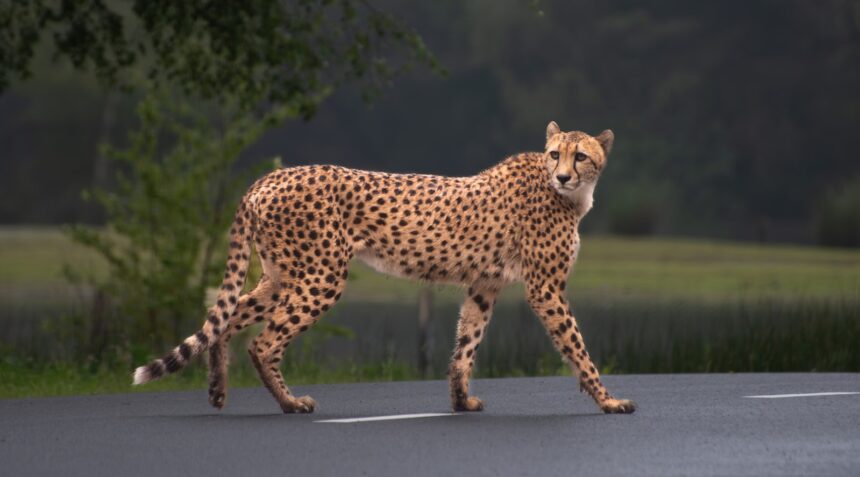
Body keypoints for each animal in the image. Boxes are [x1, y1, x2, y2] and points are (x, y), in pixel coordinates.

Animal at [131, 122, 636, 412]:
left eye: (581, 155)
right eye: (555, 154)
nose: (563, 175)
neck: (570, 195)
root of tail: (269, 177)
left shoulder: (483, 285)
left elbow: (465, 345)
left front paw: (460, 401)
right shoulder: (546, 289)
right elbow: (578, 348)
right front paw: (608, 400)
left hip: (281, 275)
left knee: (225, 318)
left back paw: (218, 389)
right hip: (321, 276)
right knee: (264, 341)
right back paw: (290, 403)